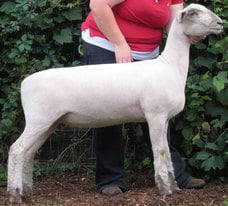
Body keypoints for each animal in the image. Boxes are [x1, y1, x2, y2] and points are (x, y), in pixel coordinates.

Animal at [7, 3, 223, 203]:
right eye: (194, 13)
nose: (220, 23)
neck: (169, 67)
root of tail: (25, 84)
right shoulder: (155, 115)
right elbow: (160, 151)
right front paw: (165, 190)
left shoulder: (165, 118)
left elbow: (168, 152)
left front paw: (174, 187)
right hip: (38, 119)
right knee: (16, 150)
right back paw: (14, 194)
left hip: (48, 123)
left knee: (28, 153)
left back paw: (26, 191)